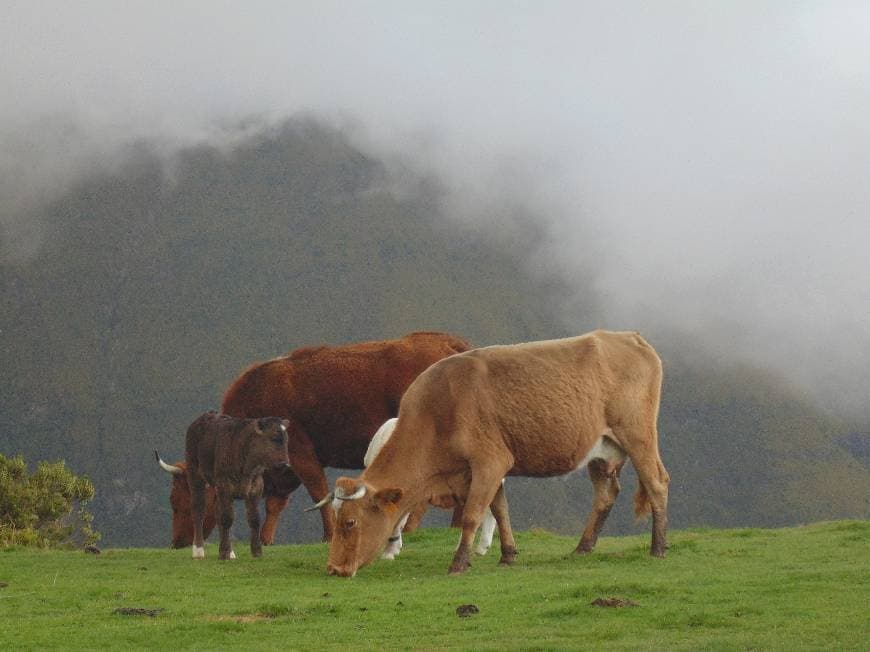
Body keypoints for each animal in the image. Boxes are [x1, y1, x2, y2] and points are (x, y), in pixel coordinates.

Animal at [157, 332, 470, 544]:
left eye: (179, 501)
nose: (177, 543)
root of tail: (450, 343)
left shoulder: (300, 453)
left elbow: (319, 493)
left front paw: (329, 535)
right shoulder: (281, 470)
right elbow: (275, 502)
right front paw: (266, 539)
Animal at [320, 332, 676, 576]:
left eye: (350, 522)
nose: (335, 569)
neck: (437, 411)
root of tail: (628, 336)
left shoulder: (490, 462)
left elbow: (473, 514)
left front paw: (459, 563)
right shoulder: (485, 470)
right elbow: (499, 510)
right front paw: (508, 555)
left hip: (638, 435)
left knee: (656, 482)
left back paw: (658, 548)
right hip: (601, 451)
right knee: (605, 494)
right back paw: (583, 547)